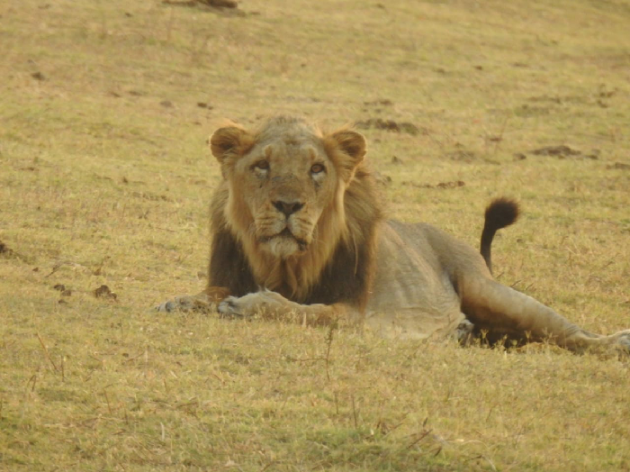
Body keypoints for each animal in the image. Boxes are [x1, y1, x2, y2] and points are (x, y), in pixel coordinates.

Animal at [158, 115, 630, 354]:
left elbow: (304, 311)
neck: (282, 262)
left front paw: (250, 305)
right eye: (262, 166)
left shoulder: (355, 312)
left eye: (317, 169)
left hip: (492, 293)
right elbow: (209, 293)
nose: (289, 205)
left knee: (571, 334)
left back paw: (617, 343)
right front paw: (182, 301)